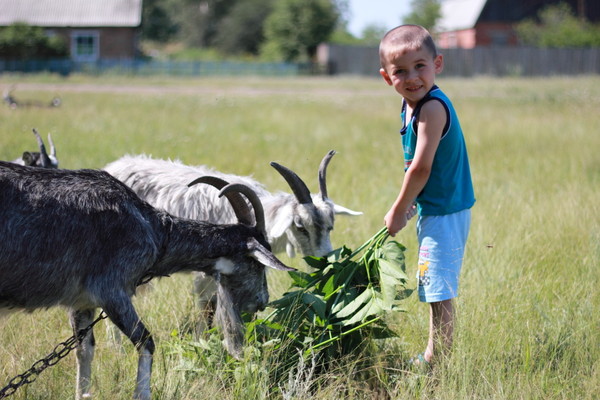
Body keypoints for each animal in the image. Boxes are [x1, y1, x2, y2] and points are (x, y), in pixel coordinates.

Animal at [0, 162, 292, 400]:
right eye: (258, 263)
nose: (262, 301)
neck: (155, 231)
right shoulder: (111, 290)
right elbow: (146, 341)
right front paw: (142, 393)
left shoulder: (81, 301)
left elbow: (84, 350)